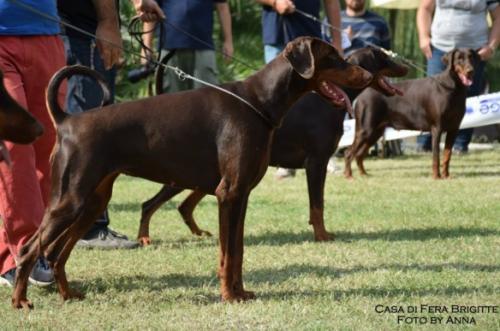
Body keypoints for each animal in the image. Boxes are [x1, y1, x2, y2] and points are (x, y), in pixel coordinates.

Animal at [11, 37, 372, 310]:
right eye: (334, 57)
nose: (368, 76)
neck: (260, 102)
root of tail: (67, 121)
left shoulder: (241, 196)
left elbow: (238, 251)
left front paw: (241, 292)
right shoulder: (229, 193)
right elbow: (227, 253)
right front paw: (228, 296)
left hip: (92, 203)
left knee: (58, 253)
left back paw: (68, 294)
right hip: (69, 199)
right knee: (30, 249)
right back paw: (20, 301)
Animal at [344, 48, 476, 180]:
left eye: (470, 57)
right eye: (459, 58)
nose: (470, 71)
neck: (453, 88)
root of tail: (361, 96)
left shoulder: (454, 129)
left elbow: (447, 155)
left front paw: (446, 176)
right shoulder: (437, 128)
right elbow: (436, 156)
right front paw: (436, 177)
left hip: (375, 132)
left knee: (359, 154)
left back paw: (363, 174)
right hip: (365, 130)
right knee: (349, 153)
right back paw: (349, 175)